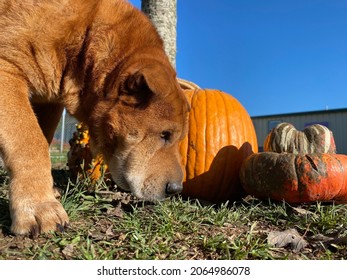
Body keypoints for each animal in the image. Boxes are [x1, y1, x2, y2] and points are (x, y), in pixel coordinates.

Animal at [0, 0, 189, 236]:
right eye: (165, 134)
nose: (177, 189)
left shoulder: (49, 102)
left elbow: (42, 138)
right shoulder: (7, 70)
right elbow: (30, 144)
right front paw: (38, 205)